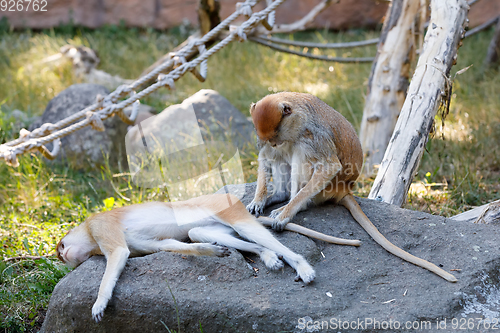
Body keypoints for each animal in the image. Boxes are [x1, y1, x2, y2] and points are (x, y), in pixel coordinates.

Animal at [57, 192, 316, 322]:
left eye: (60, 247)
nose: (63, 257)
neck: (88, 233)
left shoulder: (100, 224)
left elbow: (119, 253)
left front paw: (99, 303)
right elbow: (167, 245)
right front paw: (210, 251)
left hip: (226, 208)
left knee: (247, 229)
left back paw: (301, 266)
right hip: (213, 224)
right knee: (197, 233)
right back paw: (266, 254)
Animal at [246, 91, 458, 282]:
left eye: (276, 133)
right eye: (267, 137)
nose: (274, 143)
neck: (297, 116)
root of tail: (345, 188)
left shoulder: (312, 135)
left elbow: (329, 166)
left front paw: (284, 215)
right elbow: (265, 156)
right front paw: (258, 201)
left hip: (327, 185)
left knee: (300, 151)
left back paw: (292, 204)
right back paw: (279, 195)